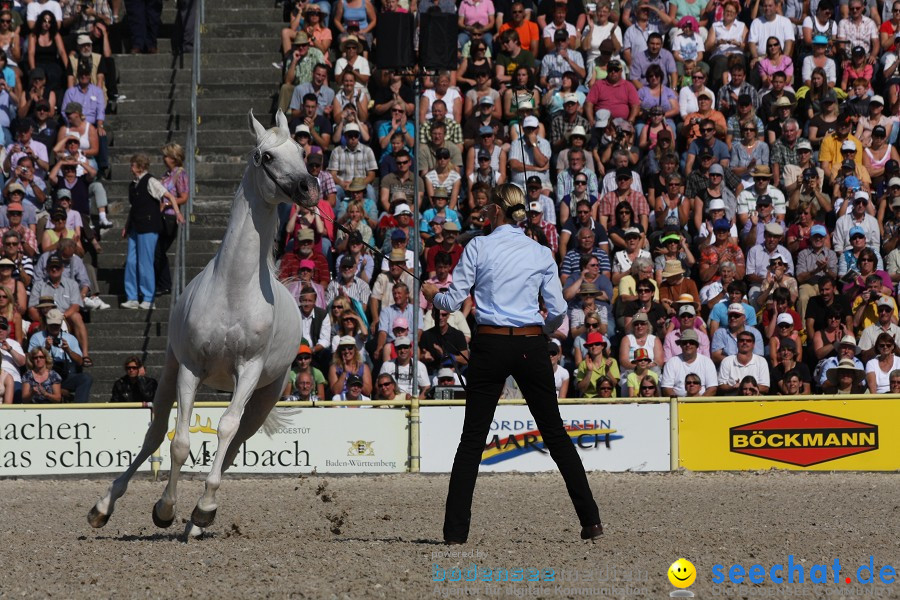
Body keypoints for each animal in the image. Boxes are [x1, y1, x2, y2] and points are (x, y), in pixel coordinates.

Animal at [88, 109, 320, 536]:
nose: (308, 188)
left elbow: (226, 431)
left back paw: (197, 522)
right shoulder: (191, 368)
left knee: (235, 442)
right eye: (266, 156)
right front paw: (164, 509)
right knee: (154, 435)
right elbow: (178, 442)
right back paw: (103, 507)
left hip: (265, 394)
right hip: (169, 371)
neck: (234, 289)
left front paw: (203, 508)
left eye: (301, 151)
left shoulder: (249, 371)